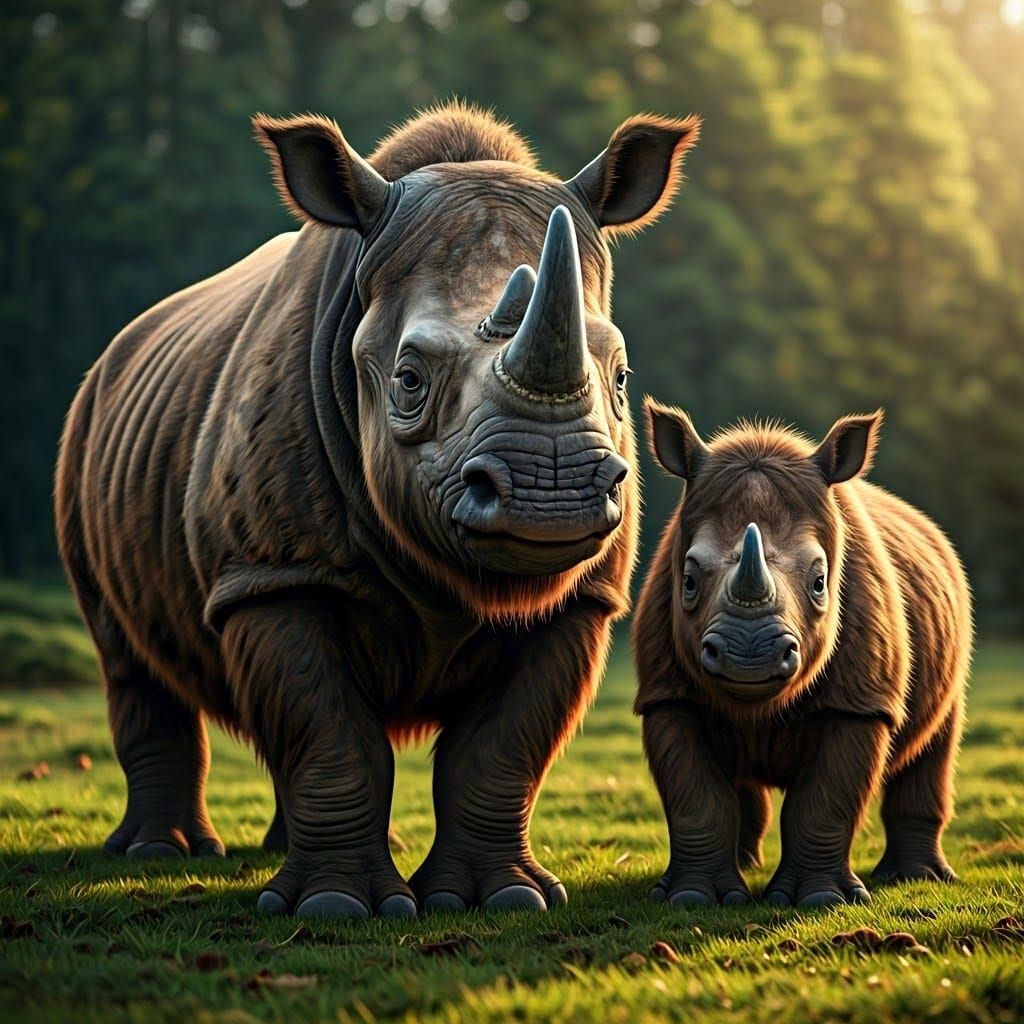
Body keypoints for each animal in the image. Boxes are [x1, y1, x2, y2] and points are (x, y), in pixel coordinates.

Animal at [56, 102, 700, 918]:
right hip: (85, 434)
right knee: (128, 658)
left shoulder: (583, 598)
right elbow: (328, 733)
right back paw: (159, 852)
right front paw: (336, 907)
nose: (548, 491)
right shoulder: (272, 572)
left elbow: (501, 746)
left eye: (620, 378)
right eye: (408, 381)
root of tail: (114, 354)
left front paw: (500, 899)